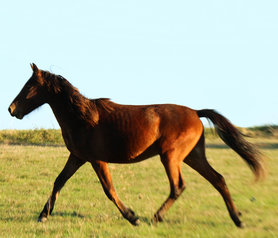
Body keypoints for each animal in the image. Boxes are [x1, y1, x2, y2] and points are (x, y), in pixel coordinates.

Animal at [8, 64, 264, 228]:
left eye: (29, 86)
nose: (11, 109)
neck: (83, 117)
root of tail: (195, 112)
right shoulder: (77, 157)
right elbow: (58, 181)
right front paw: (43, 215)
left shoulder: (96, 159)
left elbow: (109, 190)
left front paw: (133, 217)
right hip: (193, 156)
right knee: (218, 179)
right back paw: (238, 219)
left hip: (170, 156)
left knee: (178, 186)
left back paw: (156, 217)